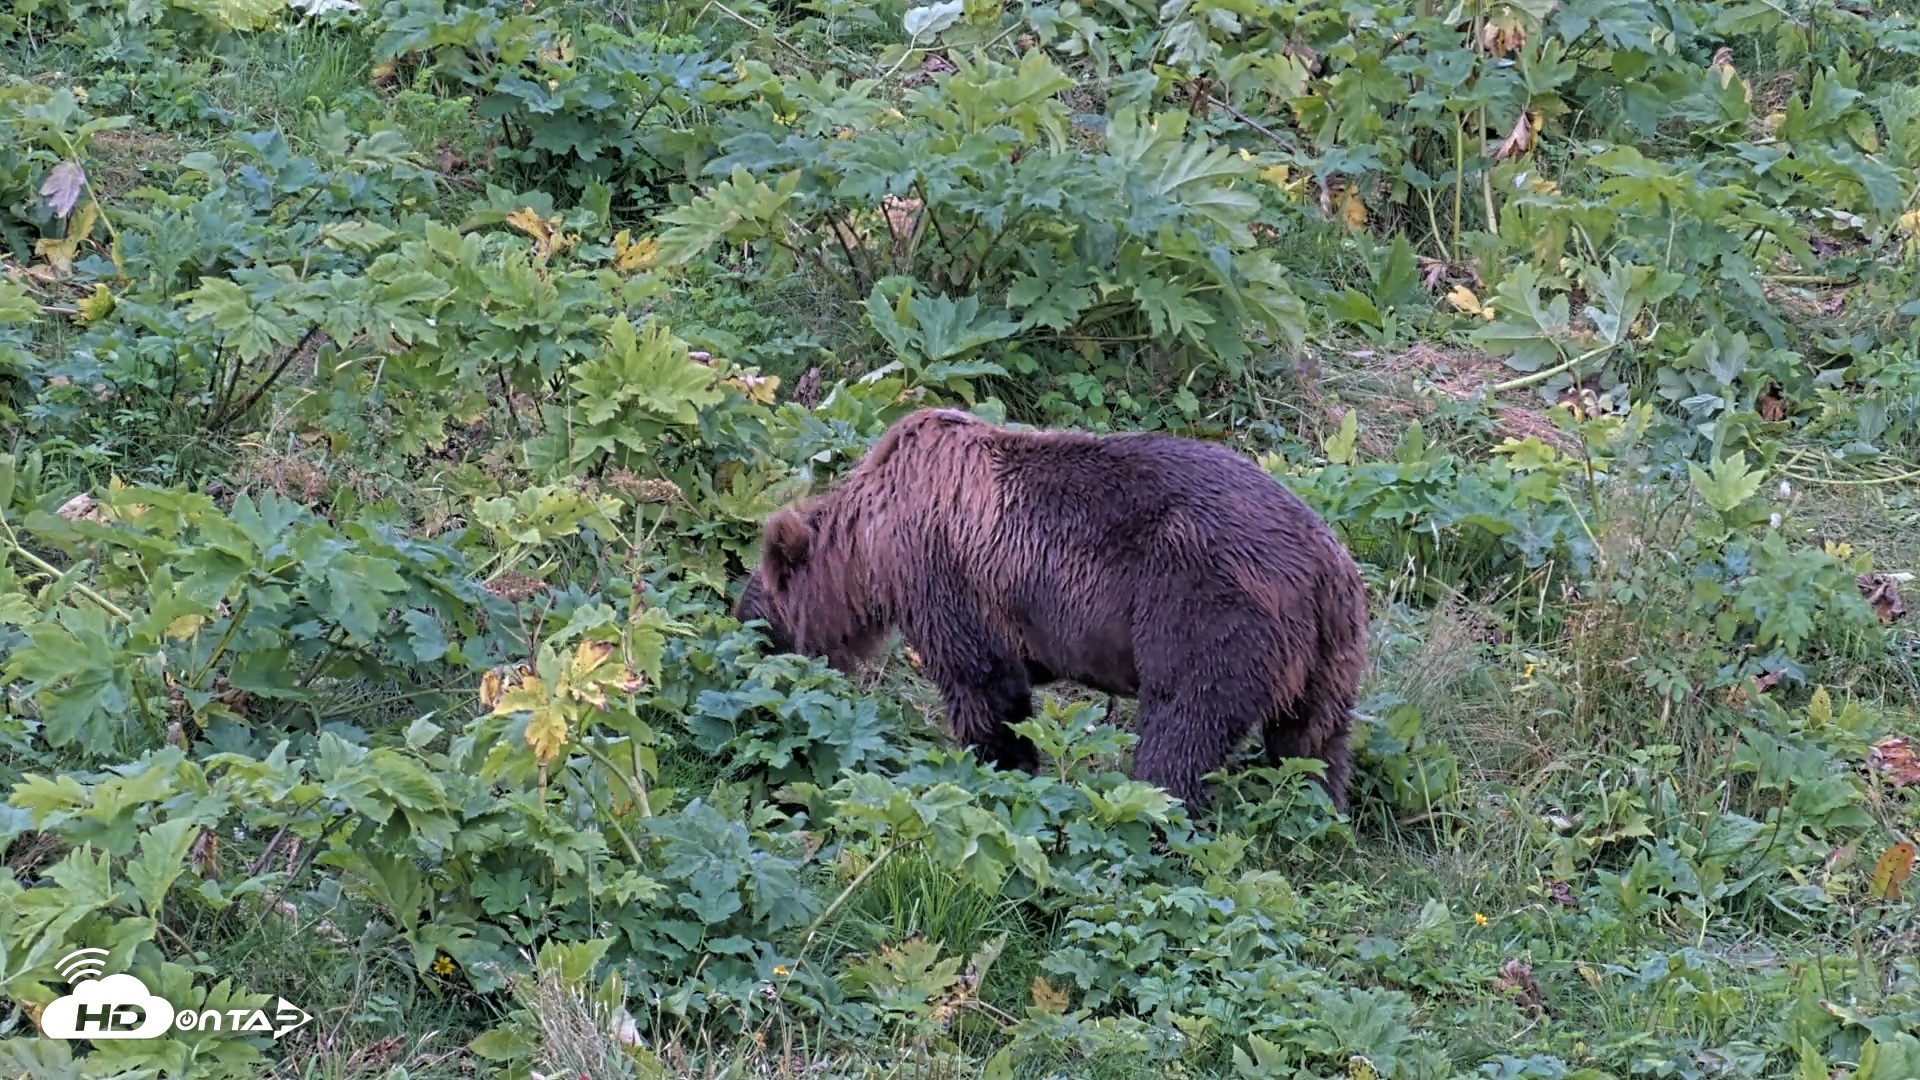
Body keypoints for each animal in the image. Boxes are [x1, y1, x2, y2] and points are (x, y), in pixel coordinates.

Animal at [732, 407, 1371, 812]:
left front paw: (1000, 766)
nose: (742, 649)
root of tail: (1324, 563)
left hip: (1205, 604)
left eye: (756, 617)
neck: (869, 542)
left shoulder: (945, 573)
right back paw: (1317, 812)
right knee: (1311, 743)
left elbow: (982, 680)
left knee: (1184, 722)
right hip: (1333, 652)